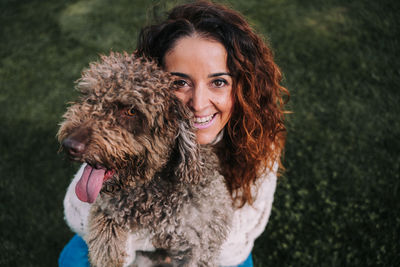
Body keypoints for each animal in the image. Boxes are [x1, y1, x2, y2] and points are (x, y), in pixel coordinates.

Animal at [56, 52, 231, 267]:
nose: (69, 145)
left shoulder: (202, 241)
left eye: (131, 111)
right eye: (89, 97)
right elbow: (105, 236)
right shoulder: (108, 209)